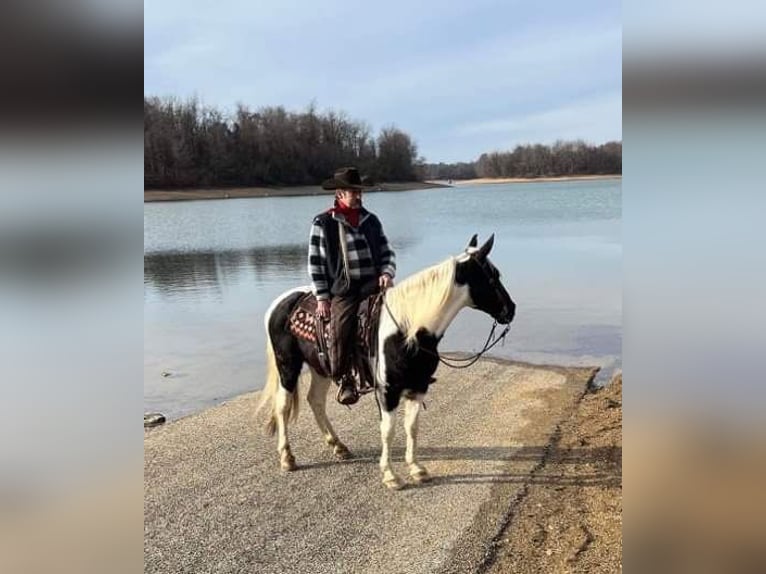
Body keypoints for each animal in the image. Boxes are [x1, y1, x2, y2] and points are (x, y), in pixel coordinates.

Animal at [256, 234, 516, 490]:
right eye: (493, 277)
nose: (511, 310)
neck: (409, 330)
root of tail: (282, 302)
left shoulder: (418, 386)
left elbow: (412, 427)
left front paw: (417, 469)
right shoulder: (388, 391)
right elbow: (388, 431)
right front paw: (391, 475)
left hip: (321, 367)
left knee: (316, 401)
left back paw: (338, 445)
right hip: (288, 367)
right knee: (282, 406)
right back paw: (287, 457)